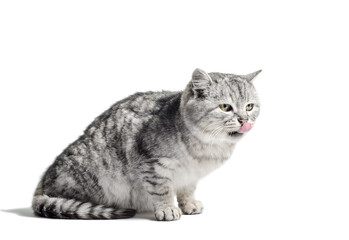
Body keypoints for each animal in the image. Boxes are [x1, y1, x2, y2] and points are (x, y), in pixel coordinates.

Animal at [32, 68, 260, 221]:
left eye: (250, 106)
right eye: (225, 107)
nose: (244, 120)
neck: (206, 147)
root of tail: (41, 186)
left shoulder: (190, 175)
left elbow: (187, 190)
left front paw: (188, 204)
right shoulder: (152, 164)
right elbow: (162, 190)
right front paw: (167, 209)